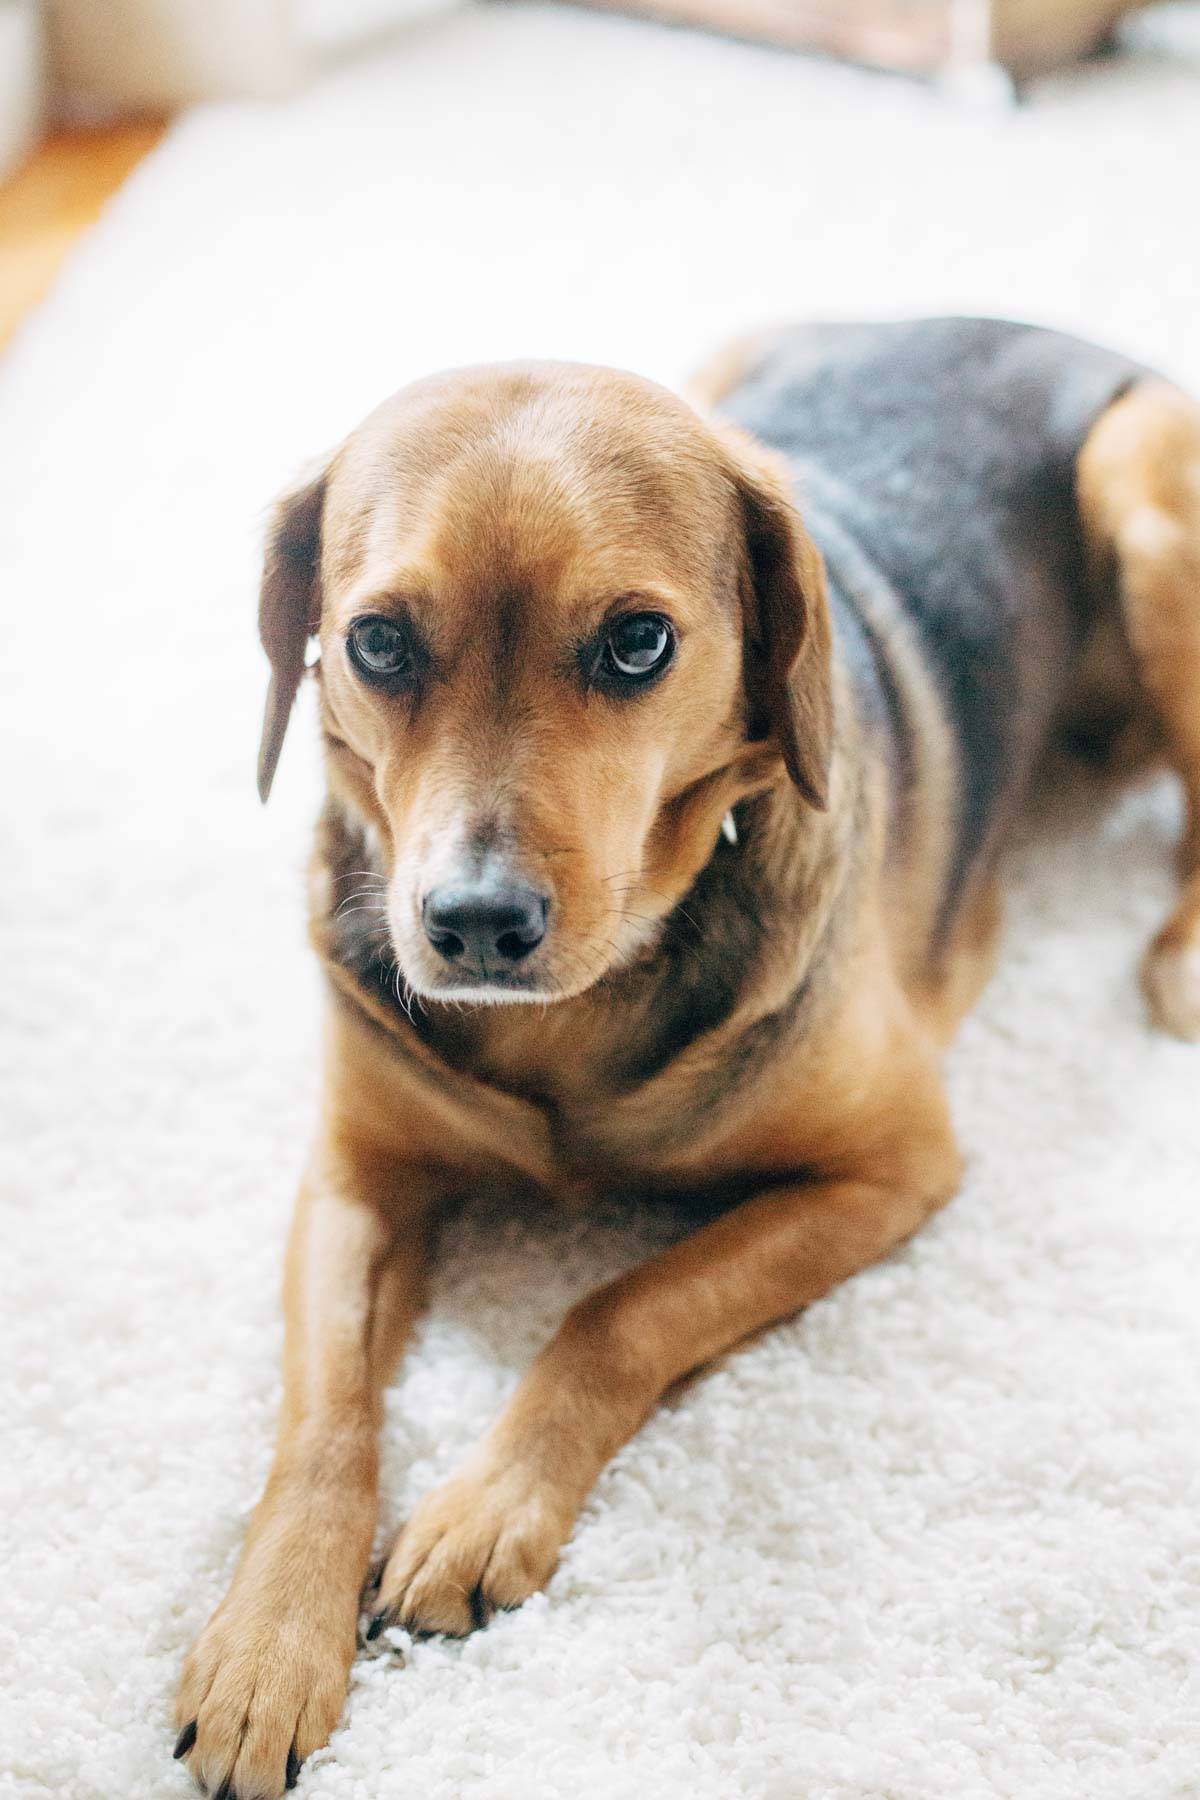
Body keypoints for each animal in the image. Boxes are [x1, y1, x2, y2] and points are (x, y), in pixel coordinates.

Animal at [173, 324, 1200, 1800]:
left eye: (637, 643)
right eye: (376, 641)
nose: (474, 925)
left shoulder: (892, 1171)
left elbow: (621, 1309)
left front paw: (485, 1508)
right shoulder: (354, 1178)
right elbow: (321, 1417)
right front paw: (266, 1643)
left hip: (1139, 481)